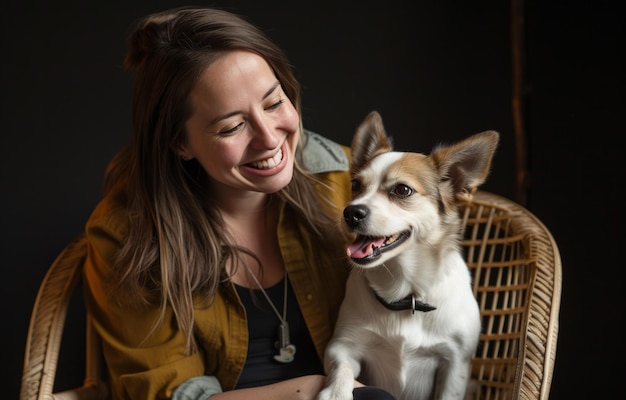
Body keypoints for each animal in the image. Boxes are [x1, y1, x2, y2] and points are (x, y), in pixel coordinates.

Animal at [316, 110, 498, 400]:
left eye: (402, 190)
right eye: (355, 185)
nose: (351, 212)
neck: (405, 291)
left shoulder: (455, 364)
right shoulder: (343, 345)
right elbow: (341, 369)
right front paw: (335, 393)